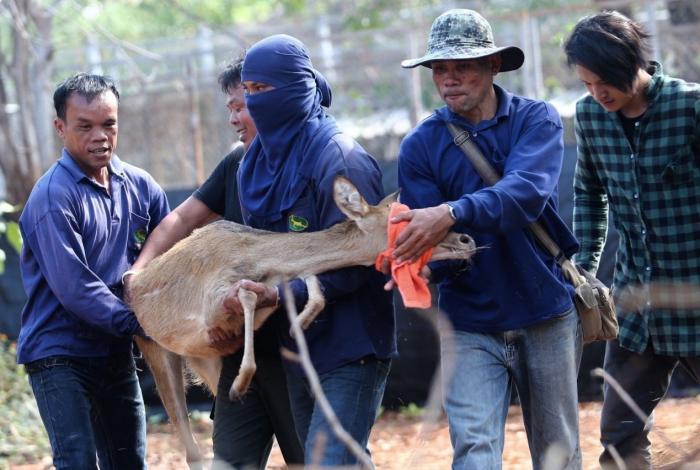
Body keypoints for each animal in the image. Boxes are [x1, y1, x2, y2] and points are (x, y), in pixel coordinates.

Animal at [126, 176, 478, 466]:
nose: (466, 240)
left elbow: (310, 285)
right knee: (193, 451)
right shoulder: (216, 296)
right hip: (156, 350)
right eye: (399, 220)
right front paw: (240, 385)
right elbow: (249, 295)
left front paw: (301, 324)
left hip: (205, 361)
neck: (257, 258)